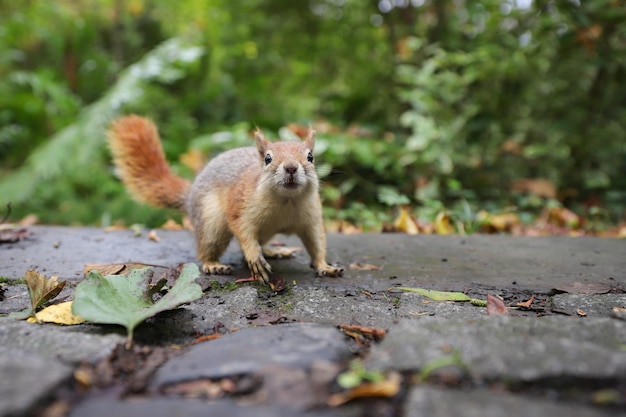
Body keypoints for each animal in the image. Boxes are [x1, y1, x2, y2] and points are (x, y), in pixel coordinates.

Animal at [106, 114, 342, 282]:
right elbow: (243, 233)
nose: (291, 167)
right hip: (212, 222)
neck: (287, 201)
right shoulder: (241, 207)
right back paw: (214, 264)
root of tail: (190, 196)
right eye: (267, 159)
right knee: (207, 248)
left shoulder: (311, 219)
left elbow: (317, 242)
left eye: (310, 157)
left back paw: (272, 251)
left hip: (265, 232)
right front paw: (254, 256)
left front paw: (325, 266)